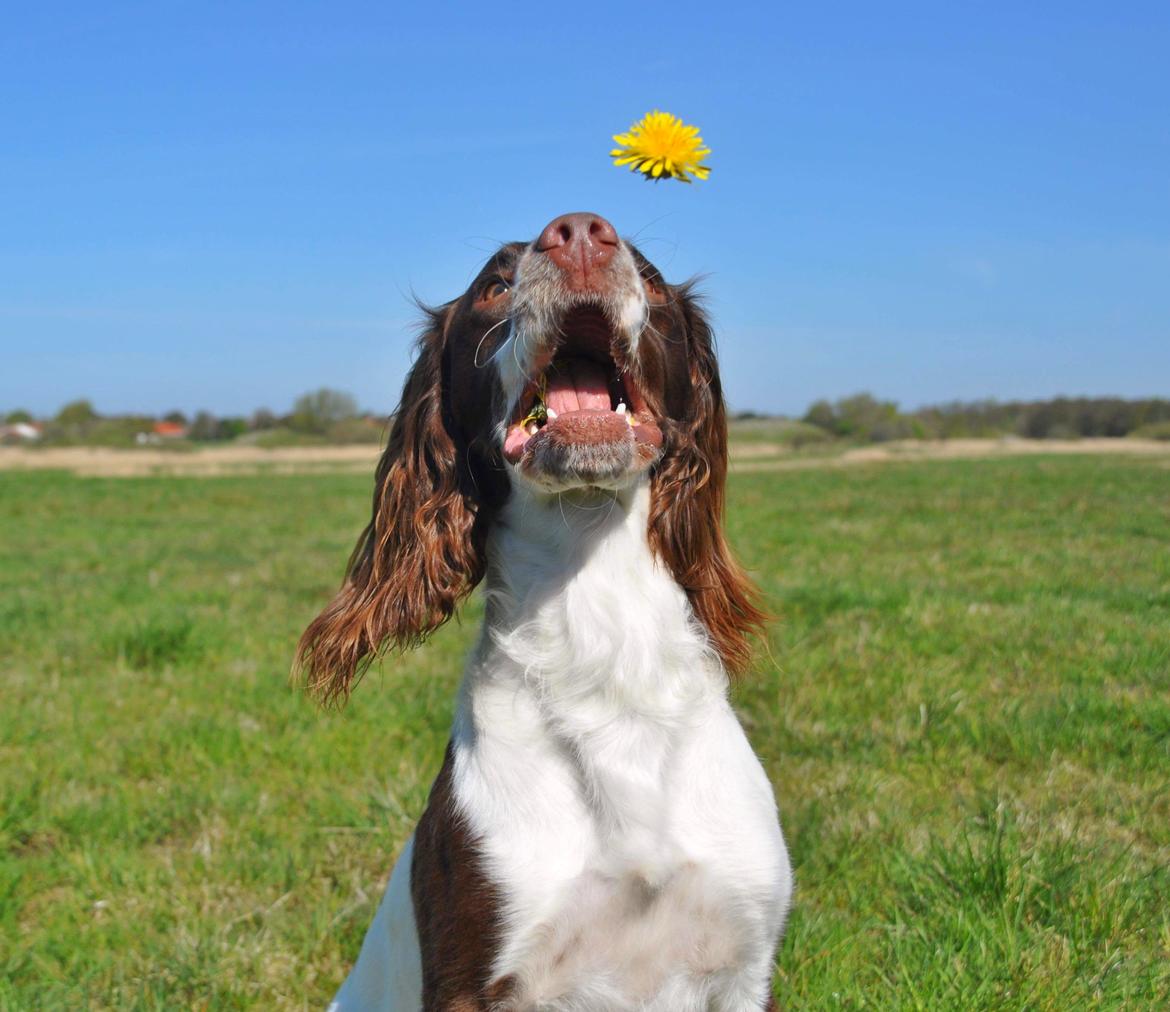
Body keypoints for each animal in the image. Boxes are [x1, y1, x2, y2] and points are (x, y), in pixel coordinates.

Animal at [299, 209, 795, 1006]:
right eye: (494, 288)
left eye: (651, 280)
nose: (581, 232)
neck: (605, 643)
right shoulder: (478, 974)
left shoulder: (745, 965)